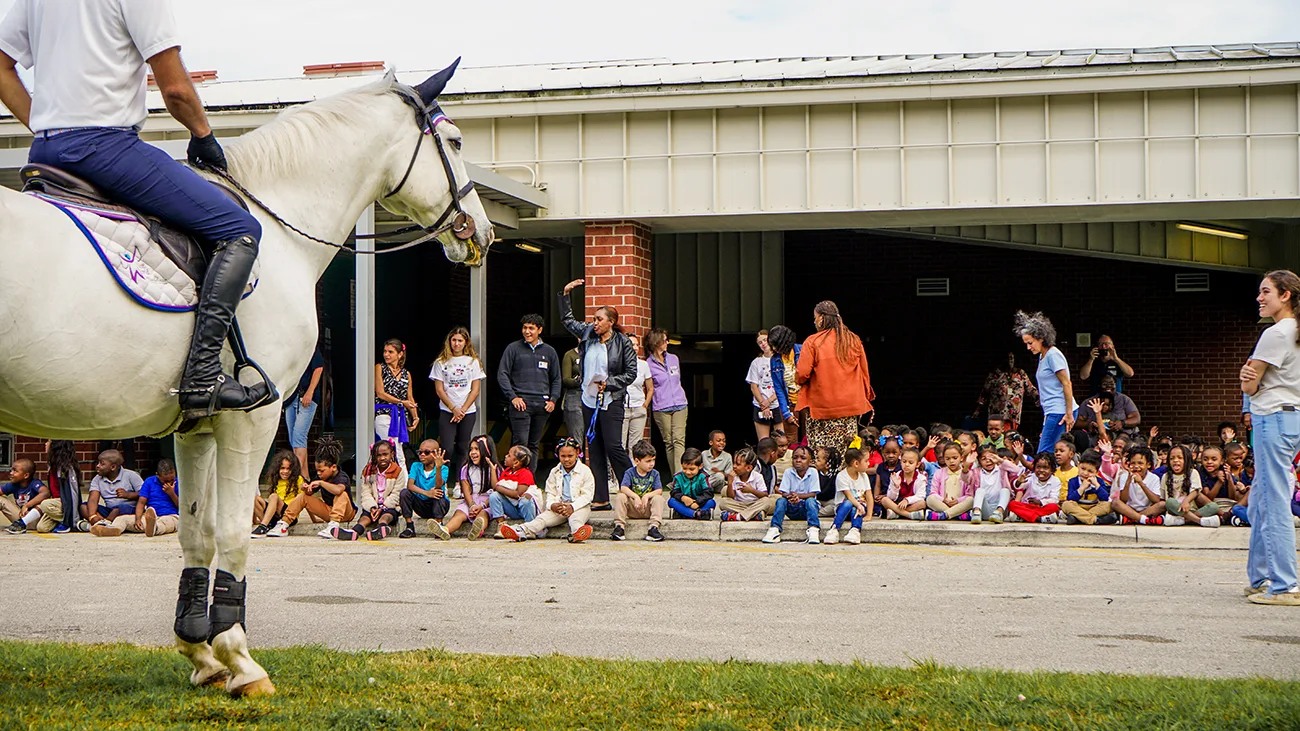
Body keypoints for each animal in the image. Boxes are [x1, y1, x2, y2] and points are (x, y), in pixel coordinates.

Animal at [0, 62, 491, 691]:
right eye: (454, 142)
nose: (481, 232)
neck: (283, 231)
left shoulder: (194, 429)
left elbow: (196, 532)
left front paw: (199, 651)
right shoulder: (253, 418)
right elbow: (233, 533)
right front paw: (236, 656)